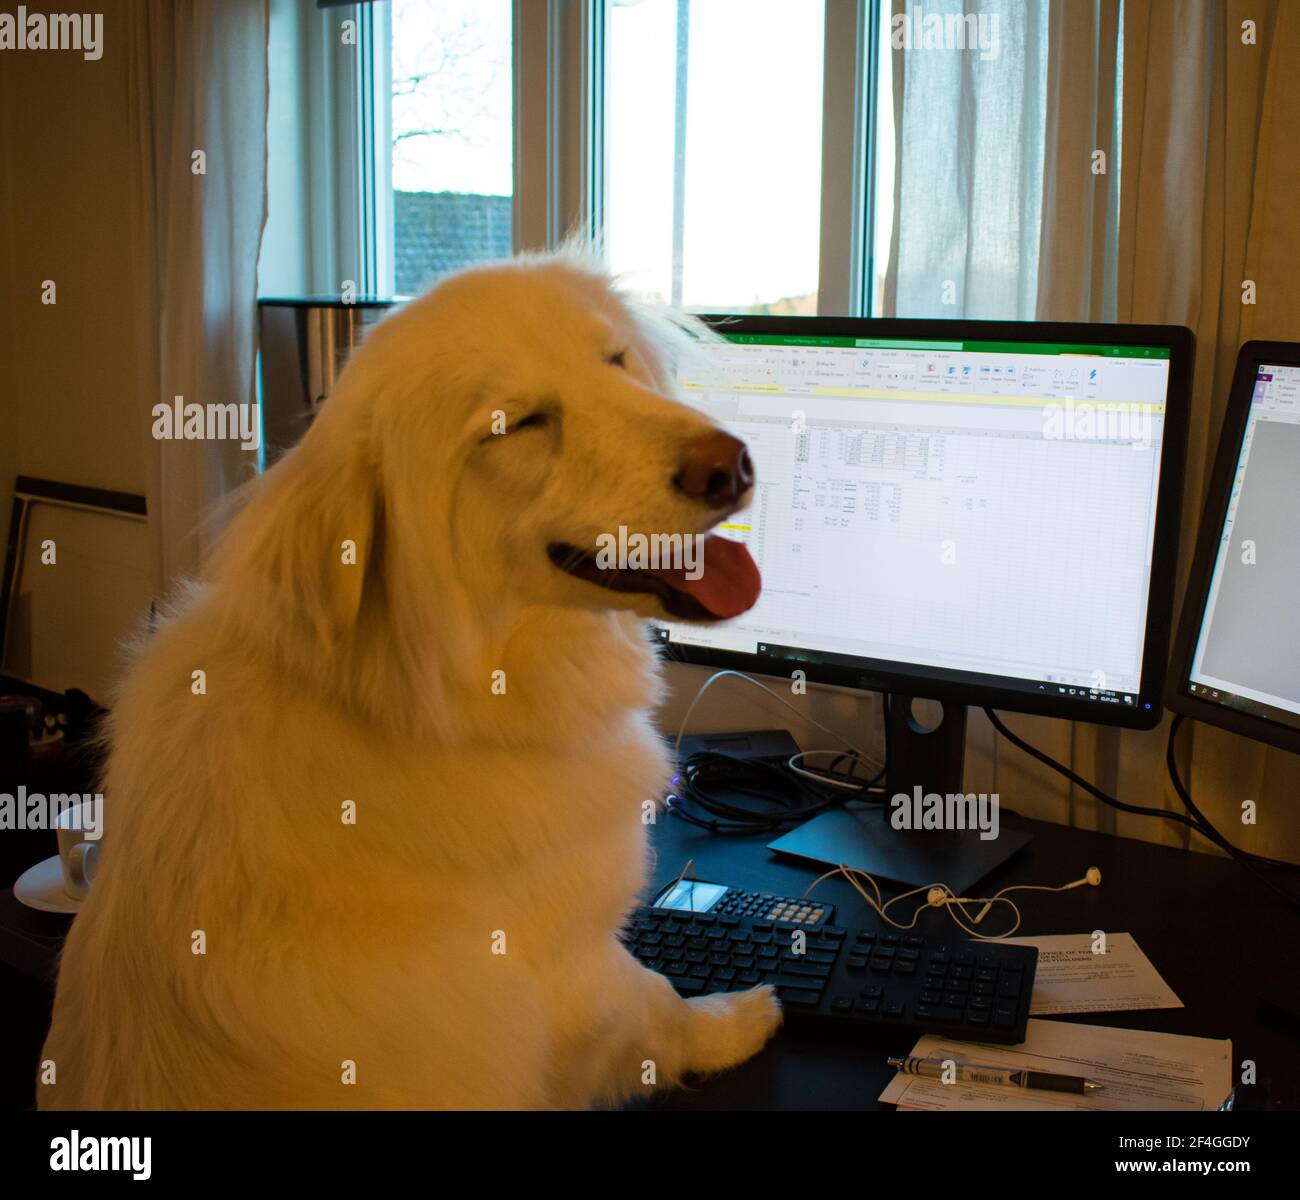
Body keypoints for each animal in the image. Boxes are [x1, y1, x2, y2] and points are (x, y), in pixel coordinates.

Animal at [40, 250, 780, 1107]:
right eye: (521, 424)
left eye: (614, 360)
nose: (732, 464)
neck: (431, 699)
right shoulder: (579, 965)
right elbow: (659, 1001)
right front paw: (740, 1017)